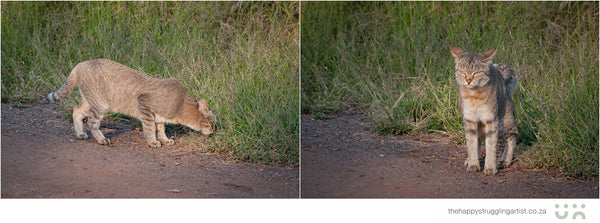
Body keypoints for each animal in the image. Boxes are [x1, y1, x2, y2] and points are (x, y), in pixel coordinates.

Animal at [47, 58, 216, 148]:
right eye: (211, 123)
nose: (214, 130)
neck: (181, 103)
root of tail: (81, 64)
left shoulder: (159, 116)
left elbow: (161, 128)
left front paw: (165, 140)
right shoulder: (144, 103)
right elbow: (150, 128)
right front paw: (153, 142)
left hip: (92, 102)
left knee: (76, 110)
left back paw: (80, 133)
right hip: (100, 105)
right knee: (91, 122)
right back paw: (101, 139)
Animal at [452, 47, 516, 176]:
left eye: (476, 72)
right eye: (462, 72)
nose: (468, 80)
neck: (473, 97)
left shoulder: (491, 120)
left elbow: (491, 146)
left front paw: (490, 167)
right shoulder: (469, 120)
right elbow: (471, 144)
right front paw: (473, 164)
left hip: (504, 123)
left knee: (512, 137)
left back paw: (505, 160)